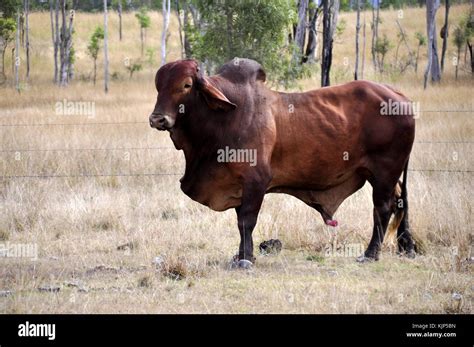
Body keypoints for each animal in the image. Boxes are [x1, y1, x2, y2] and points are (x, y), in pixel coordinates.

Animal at [150, 58, 416, 270]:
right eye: (158, 86)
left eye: (186, 85)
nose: (157, 119)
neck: (224, 118)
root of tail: (399, 97)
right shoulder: (239, 185)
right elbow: (240, 222)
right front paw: (242, 255)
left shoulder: (256, 181)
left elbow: (246, 220)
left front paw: (245, 259)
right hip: (385, 176)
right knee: (399, 202)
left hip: (384, 173)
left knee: (382, 209)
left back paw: (370, 254)